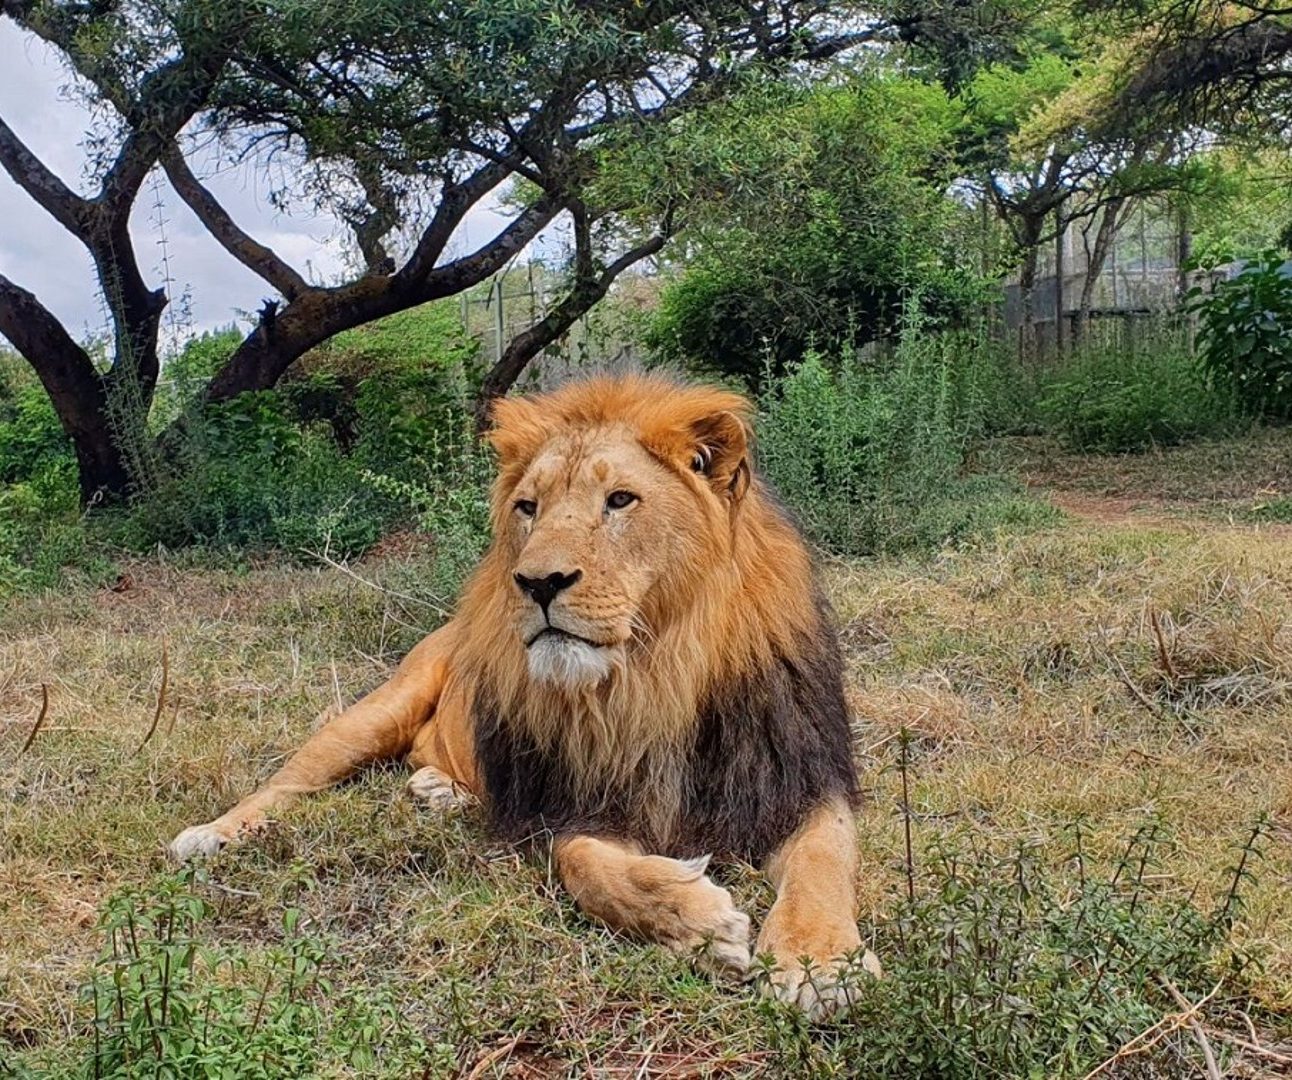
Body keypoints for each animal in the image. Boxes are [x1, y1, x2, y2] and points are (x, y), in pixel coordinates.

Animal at [169, 374, 878, 1017]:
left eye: (621, 500)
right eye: (528, 507)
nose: (537, 582)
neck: (650, 680)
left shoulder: (798, 779)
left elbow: (823, 861)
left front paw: (817, 964)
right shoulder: (564, 804)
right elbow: (587, 864)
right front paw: (696, 921)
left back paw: (441, 790)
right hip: (377, 710)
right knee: (285, 783)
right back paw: (212, 835)